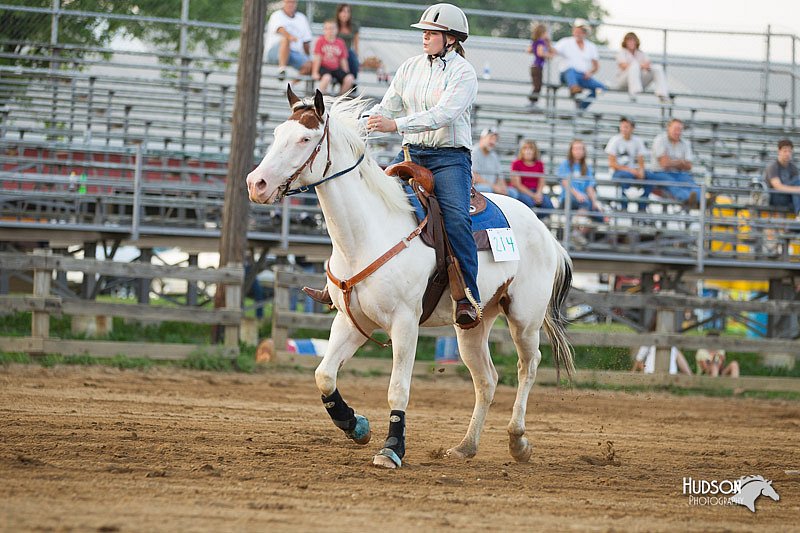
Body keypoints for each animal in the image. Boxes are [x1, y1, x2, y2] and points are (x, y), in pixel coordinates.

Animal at [245, 89, 576, 468]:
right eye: (275, 135)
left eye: (304, 139)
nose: (256, 183)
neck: (367, 232)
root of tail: (546, 232)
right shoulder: (352, 320)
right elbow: (324, 375)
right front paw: (355, 425)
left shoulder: (404, 323)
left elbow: (397, 388)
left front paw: (391, 447)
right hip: (474, 323)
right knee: (487, 380)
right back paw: (466, 446)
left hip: (524, 318)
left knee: (528, 366)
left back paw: (518, 440)